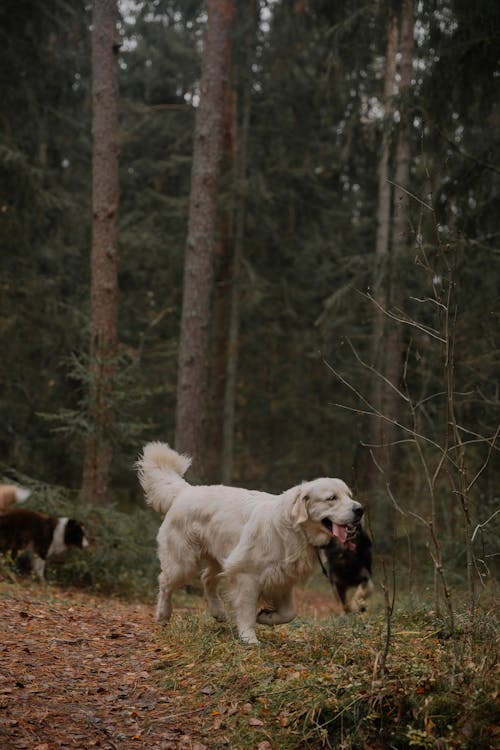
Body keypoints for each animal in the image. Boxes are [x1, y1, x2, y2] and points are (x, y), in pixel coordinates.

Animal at [137, 444, 364, 644]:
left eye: (349, 496)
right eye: (331, 498)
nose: (360, 509)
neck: (295, 530)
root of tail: (186, 491)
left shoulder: (282, 579)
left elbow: (289, 613)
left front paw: (265, 617)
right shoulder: (246, 574)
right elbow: (246, 610)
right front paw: (249, 638)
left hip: (221, 556)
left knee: (206, 578)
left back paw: (218, 611)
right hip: (183, 562)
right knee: (165, 582)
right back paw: (163, 614)